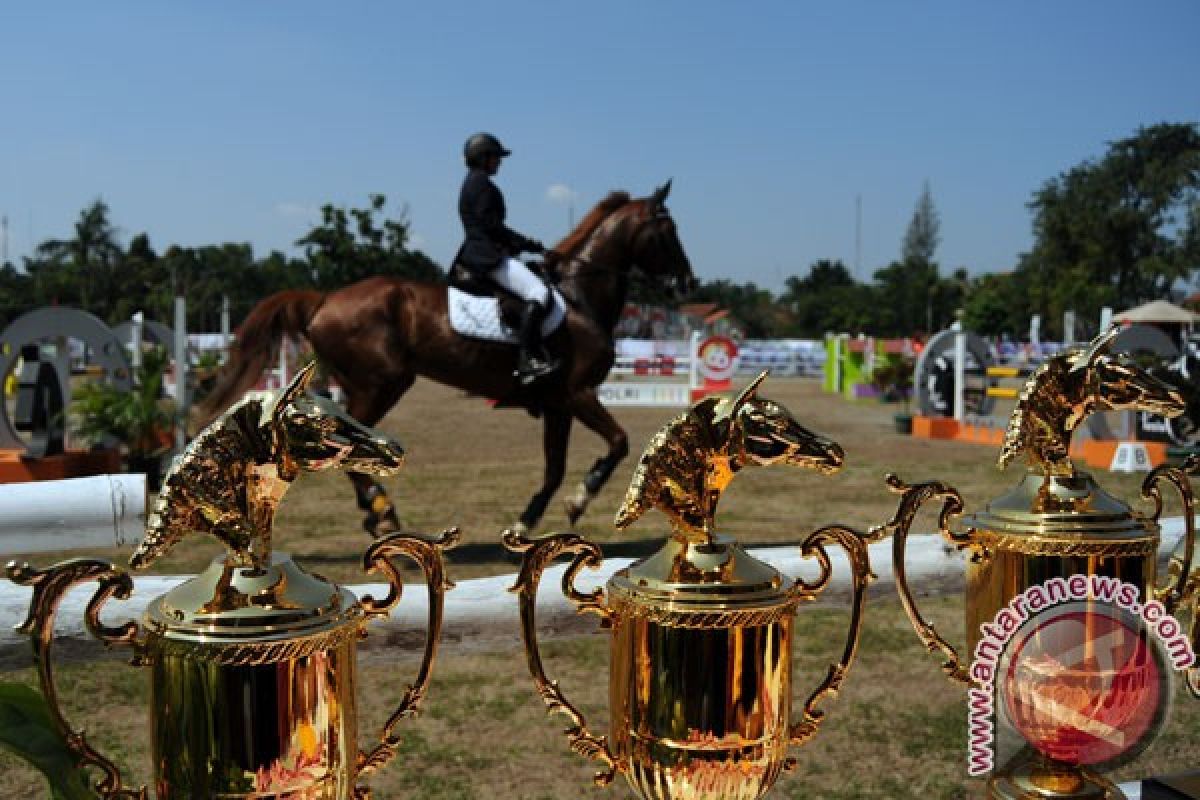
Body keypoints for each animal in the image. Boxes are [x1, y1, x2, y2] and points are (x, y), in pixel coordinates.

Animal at [202, 181, 700, 537]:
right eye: (668, 231)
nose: (688, 284)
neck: (579, 298)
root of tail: (324, 300)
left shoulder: (558, 404)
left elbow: (554, 470)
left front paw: (526, 522)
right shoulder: (578, 394)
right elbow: (618, 442)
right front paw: (582, 497)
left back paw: (375, 509)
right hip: (381, 383)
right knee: (351, 442)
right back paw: (381, 508)